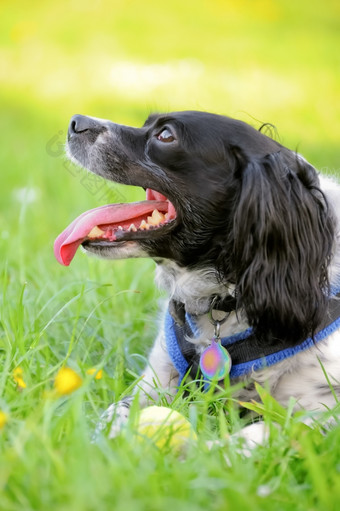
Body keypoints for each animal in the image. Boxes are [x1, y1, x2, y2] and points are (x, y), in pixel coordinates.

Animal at [54, 110, 340, 446]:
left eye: (165, 135)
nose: (76, 121)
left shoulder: (322, 412)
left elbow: (256, 435)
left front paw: (202, 450)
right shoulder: (157, 379)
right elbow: (117, 411)